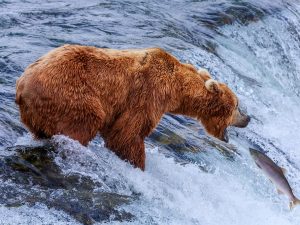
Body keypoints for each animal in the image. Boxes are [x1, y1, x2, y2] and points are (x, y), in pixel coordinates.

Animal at [15, 44, 251, 170]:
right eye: (237, 105)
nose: (248, 118)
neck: (176, 90)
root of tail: (21, 85)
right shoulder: (148, 95)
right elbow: (128, 134)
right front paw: (137, 163)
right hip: (69, 94)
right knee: (85, 121)